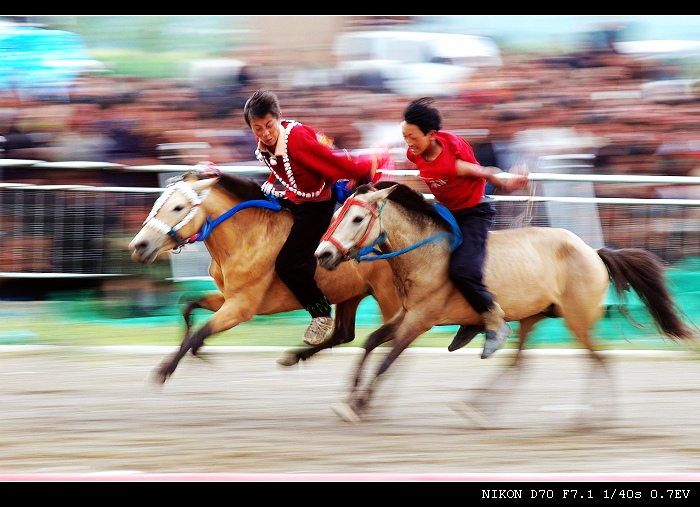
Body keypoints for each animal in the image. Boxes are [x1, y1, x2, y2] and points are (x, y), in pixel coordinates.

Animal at [127, 169, 400, 382]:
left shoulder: (241, 307)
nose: (139, 246)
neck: (246, 237)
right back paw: (293, 357)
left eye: (178, 207)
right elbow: (188, 306)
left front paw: (166, 370)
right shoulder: (229, 298)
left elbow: (199, 333)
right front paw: (199, 352)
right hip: (351, 293)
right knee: (345, 333)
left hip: (388, 297)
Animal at [316, 183, 696, 424]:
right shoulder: (406, 312)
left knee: (599, 359)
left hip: (577, 319)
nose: (323, 255)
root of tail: (593, 251)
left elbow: (387, 358)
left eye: (357, 218)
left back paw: (593, 417)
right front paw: (350, 398)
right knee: (520, 364)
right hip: (532, 317)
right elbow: (370, 343)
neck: (426, 253)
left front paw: (359, 405)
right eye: (337, 214)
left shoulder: (420, 319)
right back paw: (477, 407)